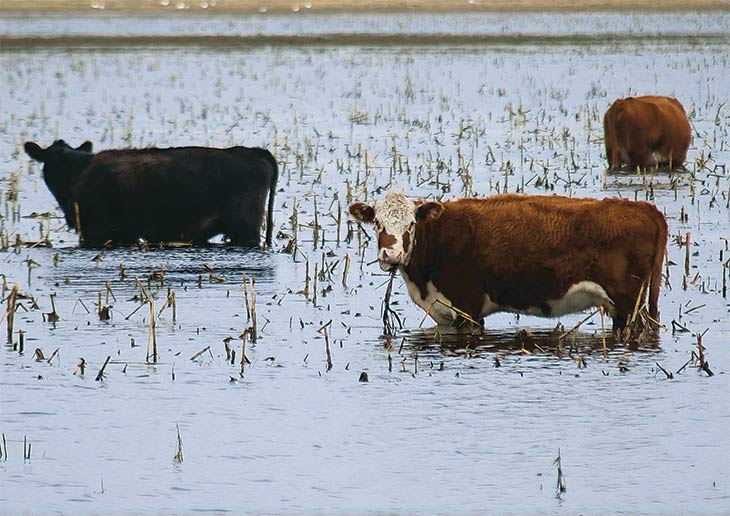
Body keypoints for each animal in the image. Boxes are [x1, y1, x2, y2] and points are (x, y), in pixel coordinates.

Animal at [350, 190, 668, 330]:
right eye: (376, 222)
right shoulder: (443, 312)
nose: (391, 255)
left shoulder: (468, 309)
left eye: (411, 224)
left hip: (629, 303)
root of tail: (644, 208)